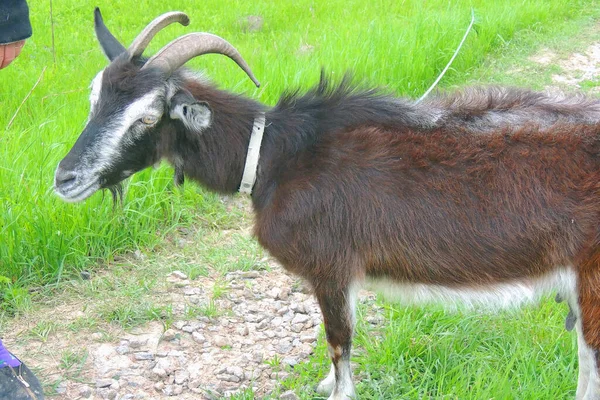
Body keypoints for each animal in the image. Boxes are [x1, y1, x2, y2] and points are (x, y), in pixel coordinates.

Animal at [54, 9, 600, 400]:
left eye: (148, 116)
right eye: (94, 99)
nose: (64, 178)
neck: (273, 156)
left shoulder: (330, 266)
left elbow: (339, 341)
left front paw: (337, 391)